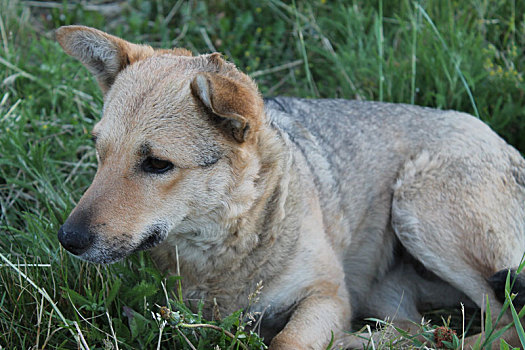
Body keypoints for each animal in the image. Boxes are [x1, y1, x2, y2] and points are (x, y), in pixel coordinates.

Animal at [55, 26, 524, 348]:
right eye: (99, 151)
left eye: (156, 164)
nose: (67, 239)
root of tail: (507, 145)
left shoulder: (328, 295)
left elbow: (286, 340)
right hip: (384, 290)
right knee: (419, 330)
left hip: (417, 211)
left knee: (501, 328)